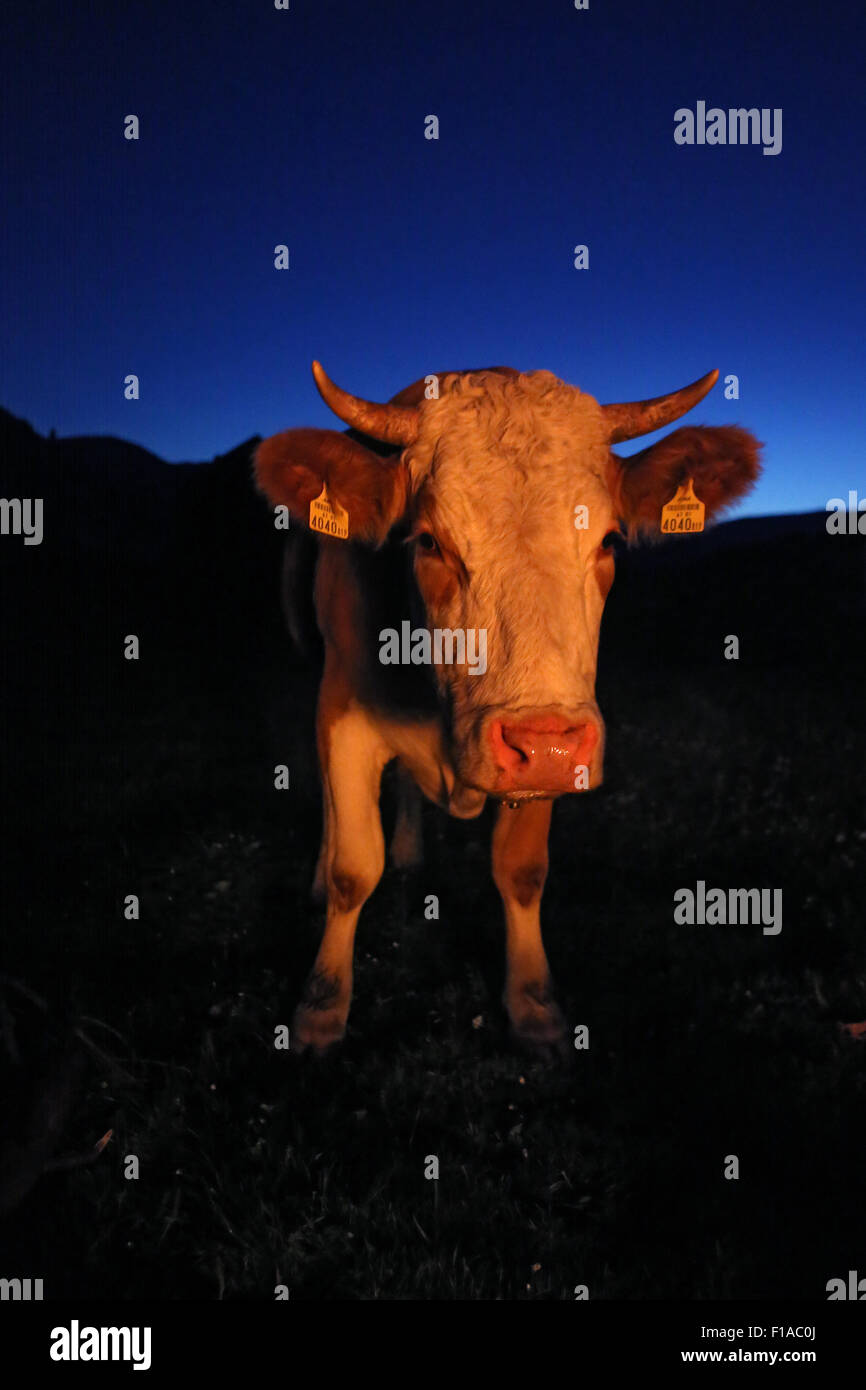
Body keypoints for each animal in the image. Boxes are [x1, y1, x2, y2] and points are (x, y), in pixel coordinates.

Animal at [254, 358, 761, 1050]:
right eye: (429, 542)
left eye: (608, 541)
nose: (541, 745)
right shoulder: (344, 707)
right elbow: (353, 868)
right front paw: (322, 1006)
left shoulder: (556, 726)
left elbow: (521, 869)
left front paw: (533, 1003)